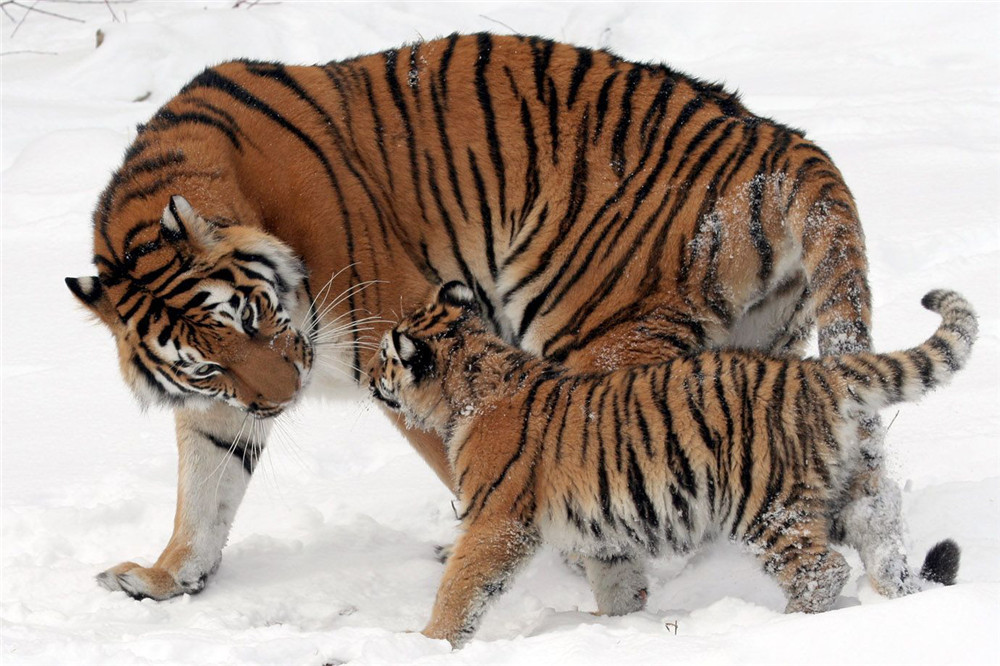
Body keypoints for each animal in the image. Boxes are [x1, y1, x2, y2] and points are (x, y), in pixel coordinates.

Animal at [66, 32, 955, 605]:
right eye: (204, 361)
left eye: (252, 314)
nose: (282, 401)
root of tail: (780, 140)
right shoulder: (222, 404)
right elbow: (205, 488)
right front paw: (166, 578)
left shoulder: (402, 335)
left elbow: (464, 456)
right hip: (758, 345)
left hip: (597, 332)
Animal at [366, 282, 976, 647]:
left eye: (385, 358)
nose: (367, 376)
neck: (472, 382)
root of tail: (818, 373)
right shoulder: (602, 530)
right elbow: (617, 582)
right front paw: (612, 625)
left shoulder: (496, 521)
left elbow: (461, 586)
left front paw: (426, 641)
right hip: (849, 491)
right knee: (884, 542)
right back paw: (898, 601)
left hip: (766, 505)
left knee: (821, 570)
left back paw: (780, 629)